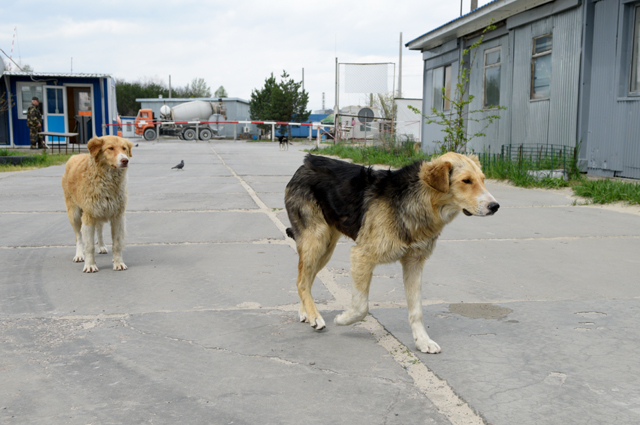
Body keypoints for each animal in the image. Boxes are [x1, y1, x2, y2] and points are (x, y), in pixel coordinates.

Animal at [62, 136, 133, 272]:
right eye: (110, 148)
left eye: (124, 148)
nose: (125, 160)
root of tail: (75, 156)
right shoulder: (88, 216)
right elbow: (89, 245)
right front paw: (90, 265)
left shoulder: (117, 216)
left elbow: (117, 244)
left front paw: (118, 263)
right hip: (74, 214)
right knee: (78, 236)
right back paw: (79, 255)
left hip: (100, 212)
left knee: (99, 229)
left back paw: (101, 246)